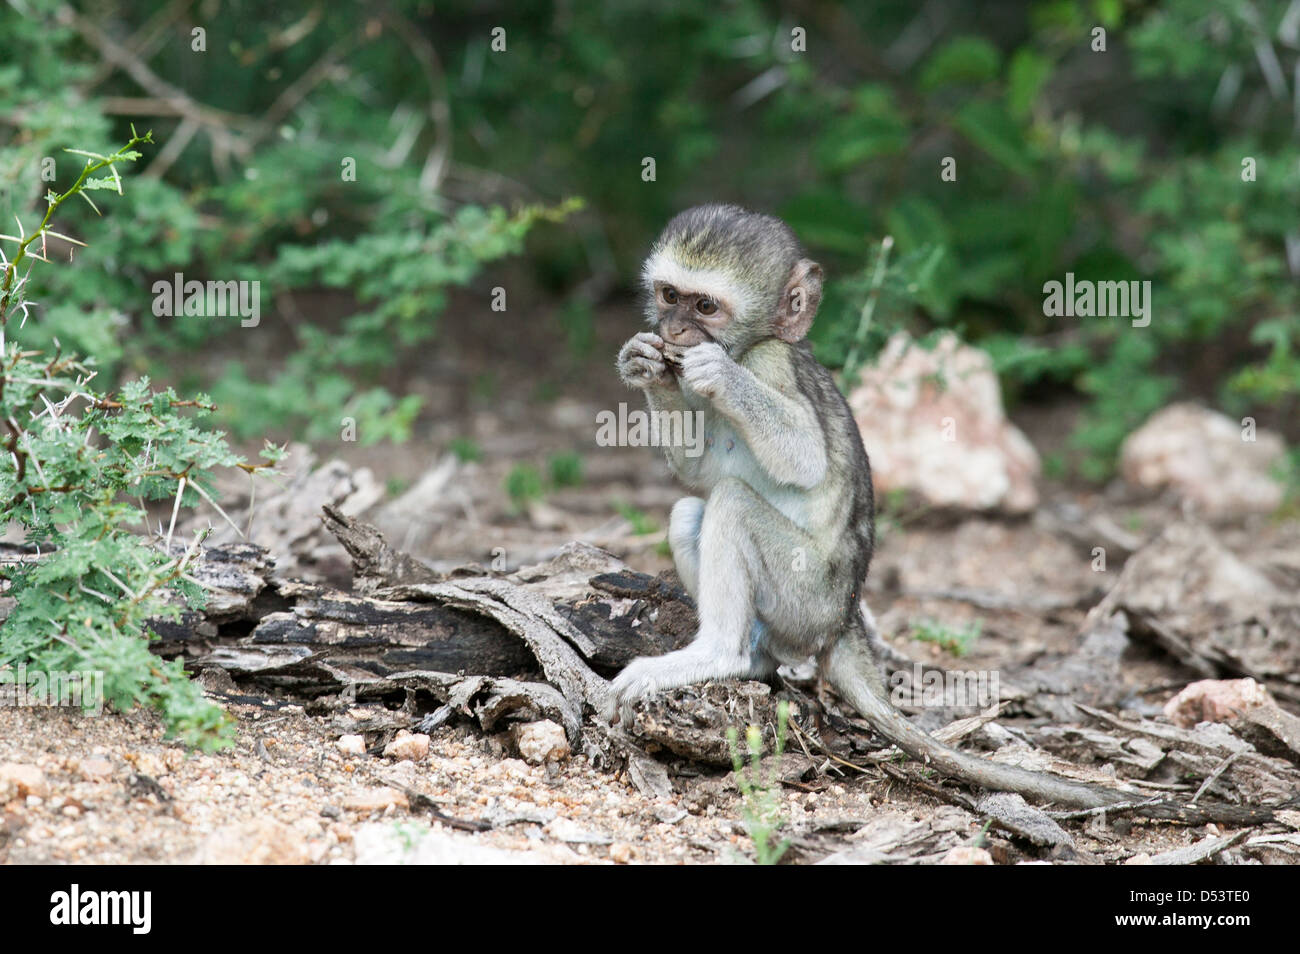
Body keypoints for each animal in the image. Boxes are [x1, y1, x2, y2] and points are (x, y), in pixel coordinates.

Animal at [608, 205, 1128, 811]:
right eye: (669, 295)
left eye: (706, 307)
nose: (673, 332)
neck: (749, 345)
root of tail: (846, 619)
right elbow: (696, 471)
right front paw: (644, 364)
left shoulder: (771, 362)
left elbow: (803, 456)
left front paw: (720, 376)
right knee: (690, 511)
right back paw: (751, 661)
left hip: (807, 597)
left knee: (730, 503)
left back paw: (719, 655)